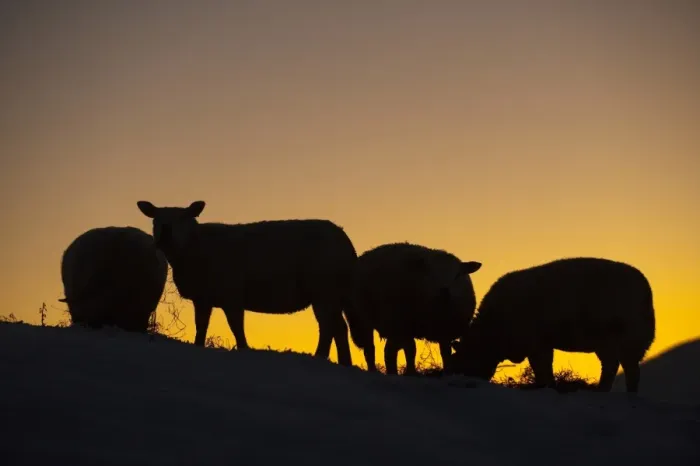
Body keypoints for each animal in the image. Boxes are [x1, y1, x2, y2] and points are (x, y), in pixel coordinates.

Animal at [136, 200, 358, 366]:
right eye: (155, 219)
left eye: (183, 218)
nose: (165, 234)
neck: (193, 247)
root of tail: (347, 244)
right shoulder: (203, 297)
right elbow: (201, 327)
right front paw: (198, 346)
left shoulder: (231, 293)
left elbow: (236, 326)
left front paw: (244, 348)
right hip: (334, 293)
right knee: (340, 328)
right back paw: (345, 363)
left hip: (323, 290)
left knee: (328, 326)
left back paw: (320, 356)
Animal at [343, 242, 482, 375]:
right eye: (431, 273)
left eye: (457, 275)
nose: (444, 291)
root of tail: (368, 252)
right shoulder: (406, 325)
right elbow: (411, 350)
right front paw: (411, 373)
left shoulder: (445, 331)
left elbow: (445, 353)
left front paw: (447, 373)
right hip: (369, 319)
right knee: (372, 349)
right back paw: (377, 371)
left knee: (389, 351)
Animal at [448, 257, 656, 393]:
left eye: (463, 359)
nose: (459, 378)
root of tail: (646, 292)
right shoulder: (539, 345)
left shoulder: (536, 344)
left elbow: (542, 369)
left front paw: (545, 387)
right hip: (609, 344)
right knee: (613, 367)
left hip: (628, 340)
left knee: (628, 370)